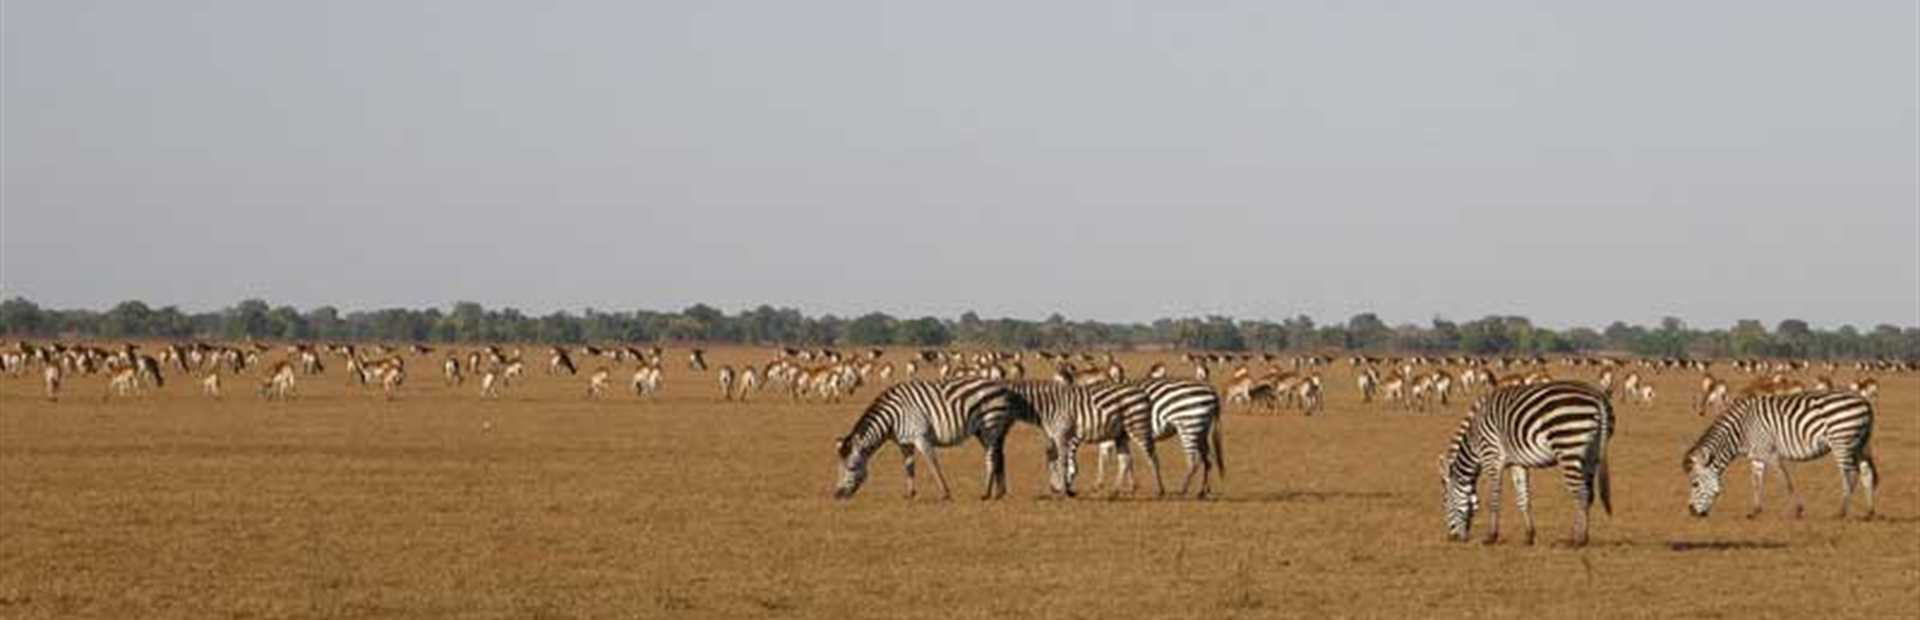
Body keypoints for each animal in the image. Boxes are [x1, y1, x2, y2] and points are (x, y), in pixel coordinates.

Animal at [833, 378, 1029, 506]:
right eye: (839, 468)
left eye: (851, 468)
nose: (837, 495)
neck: (892, 418)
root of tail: (1001, 386)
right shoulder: (904, 442)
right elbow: (909, 466)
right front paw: (909, 493)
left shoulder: (921, 436)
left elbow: (932, 464)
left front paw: (945, 493)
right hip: (982, 430)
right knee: (999, 454)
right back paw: (999, 492)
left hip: (991, 424)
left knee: (992, 456)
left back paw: (986, 493)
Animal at [1436, 381, 1612, 545]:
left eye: (1446, 501)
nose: (1451, 538)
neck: (1474, 442)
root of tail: (1598, 397)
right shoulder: (1517, 463)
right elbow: (1523, 498)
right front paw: (1529, 535)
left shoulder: (1491, 457)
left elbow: (1494, 498)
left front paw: (1491, 536)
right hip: (1590, 456)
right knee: (1589, 494)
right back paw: (1581, 536)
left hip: (1568, 447)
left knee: (1581, 493)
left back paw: (1577, 540)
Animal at [1681, 395, 1873, 522]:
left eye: (1695, 484)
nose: (1691, 512)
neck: (1742, 430)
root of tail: (1864, 401)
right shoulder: (1757, 456)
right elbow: (1756, 482)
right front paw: (1755, 511)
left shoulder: (1770, 452)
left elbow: (1785, 481)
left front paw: (1797, 511)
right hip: (1859, 444)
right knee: (1866, 471)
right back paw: (1868, 513)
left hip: (1841, 442)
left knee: (1850, 474)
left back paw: (1841, 512)